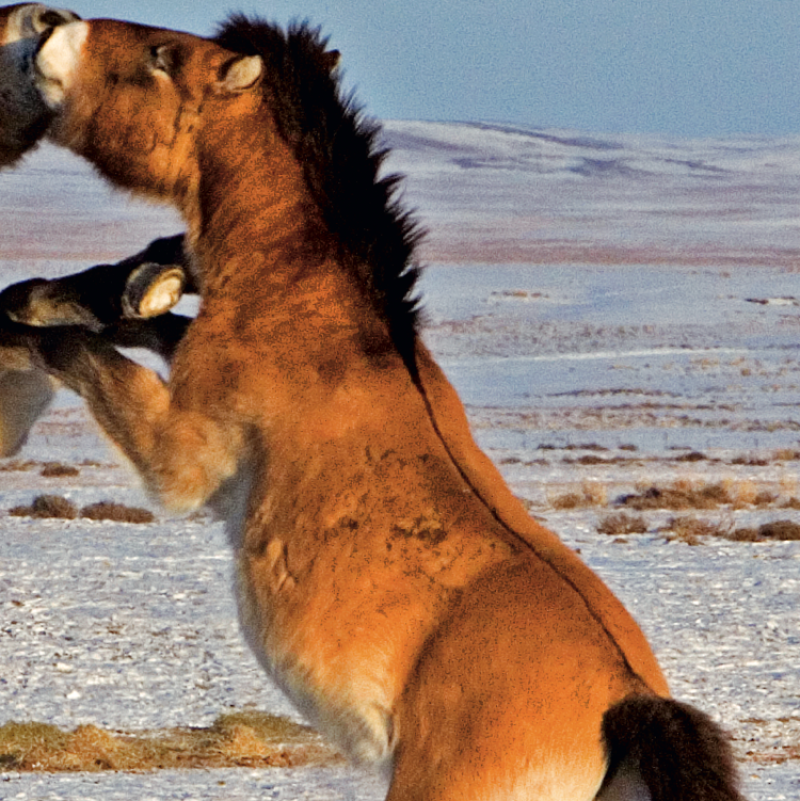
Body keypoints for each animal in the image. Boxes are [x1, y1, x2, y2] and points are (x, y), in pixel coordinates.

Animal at [23, 16, 744, 800]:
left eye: (162, 56)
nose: (53, 29)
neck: (313, 311)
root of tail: (626, 704)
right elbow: (143, 326)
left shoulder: (177, 454)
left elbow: (74, 351)